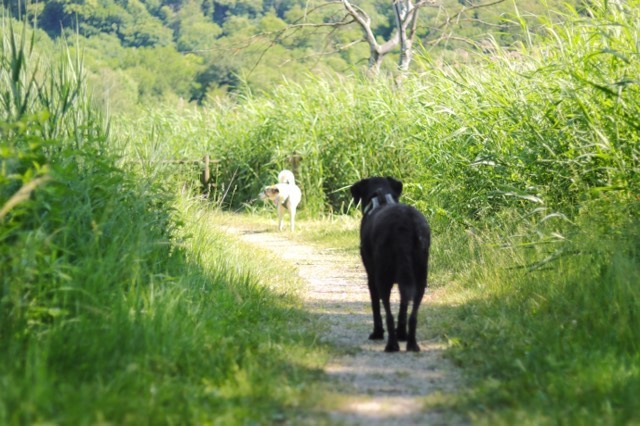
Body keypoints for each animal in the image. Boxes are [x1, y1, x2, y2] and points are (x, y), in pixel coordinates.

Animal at [350, 176, 430, 352]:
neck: (381, 197)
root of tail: (404, 225)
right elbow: (403, 308)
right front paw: (402, 334)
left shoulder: (371, 278)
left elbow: (376, 306)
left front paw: (377, 333)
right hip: (420, 277)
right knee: (413, 315)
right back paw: (411, 344)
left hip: (382, 278)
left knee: (388, 313)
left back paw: (391, 345)